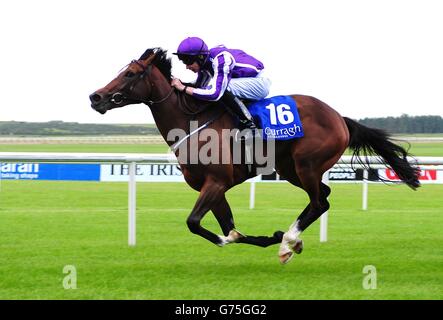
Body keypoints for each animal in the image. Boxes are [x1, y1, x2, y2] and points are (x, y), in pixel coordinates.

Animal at [87, 47, 420, 262]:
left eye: (130, 74)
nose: (96, 97)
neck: (191, 121)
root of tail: (339, 117)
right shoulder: (211, 186)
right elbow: (228, 227)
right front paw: (260, 237)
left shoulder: (217, 181)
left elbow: (196, 223)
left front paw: (262, 239)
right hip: (289, 169)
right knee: (322, 197)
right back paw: (289, 240)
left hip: (307, 164)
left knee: (319, 201)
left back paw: (288, 242)